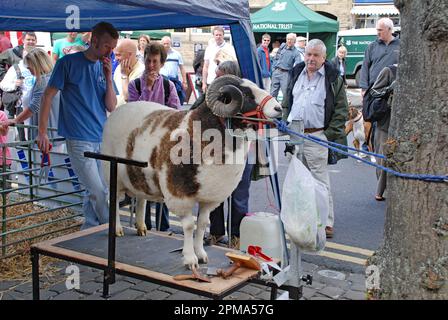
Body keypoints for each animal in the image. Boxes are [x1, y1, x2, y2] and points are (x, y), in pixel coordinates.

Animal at [103, 76, 282, 268]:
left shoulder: (209, 197)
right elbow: (189, 226)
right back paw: (117, 229)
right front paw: (190, 259)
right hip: (112, 173)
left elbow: (203, 224)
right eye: (247, 95)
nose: (278, 108)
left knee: (141, 199)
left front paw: (201, 255)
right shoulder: (179, 193)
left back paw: (141, 227)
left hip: (139, 176)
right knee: (113, 200)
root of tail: (118, 110)